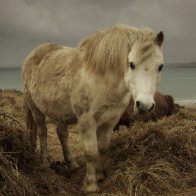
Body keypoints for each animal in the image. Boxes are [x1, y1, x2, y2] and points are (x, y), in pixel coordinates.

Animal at [22, 24, 165, 193]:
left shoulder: (111, 121)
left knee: (62, 134)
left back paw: (72, 164)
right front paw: (91, 185)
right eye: (131, 64)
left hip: (59, 111)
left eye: (160, 66)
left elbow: (102, 148)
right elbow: (91, 152)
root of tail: (34, 53)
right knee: (43, 132)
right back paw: (44, 163)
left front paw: (100, 175)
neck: (102, 79)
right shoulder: (87, 121)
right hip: (35, 108)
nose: (145, 105)